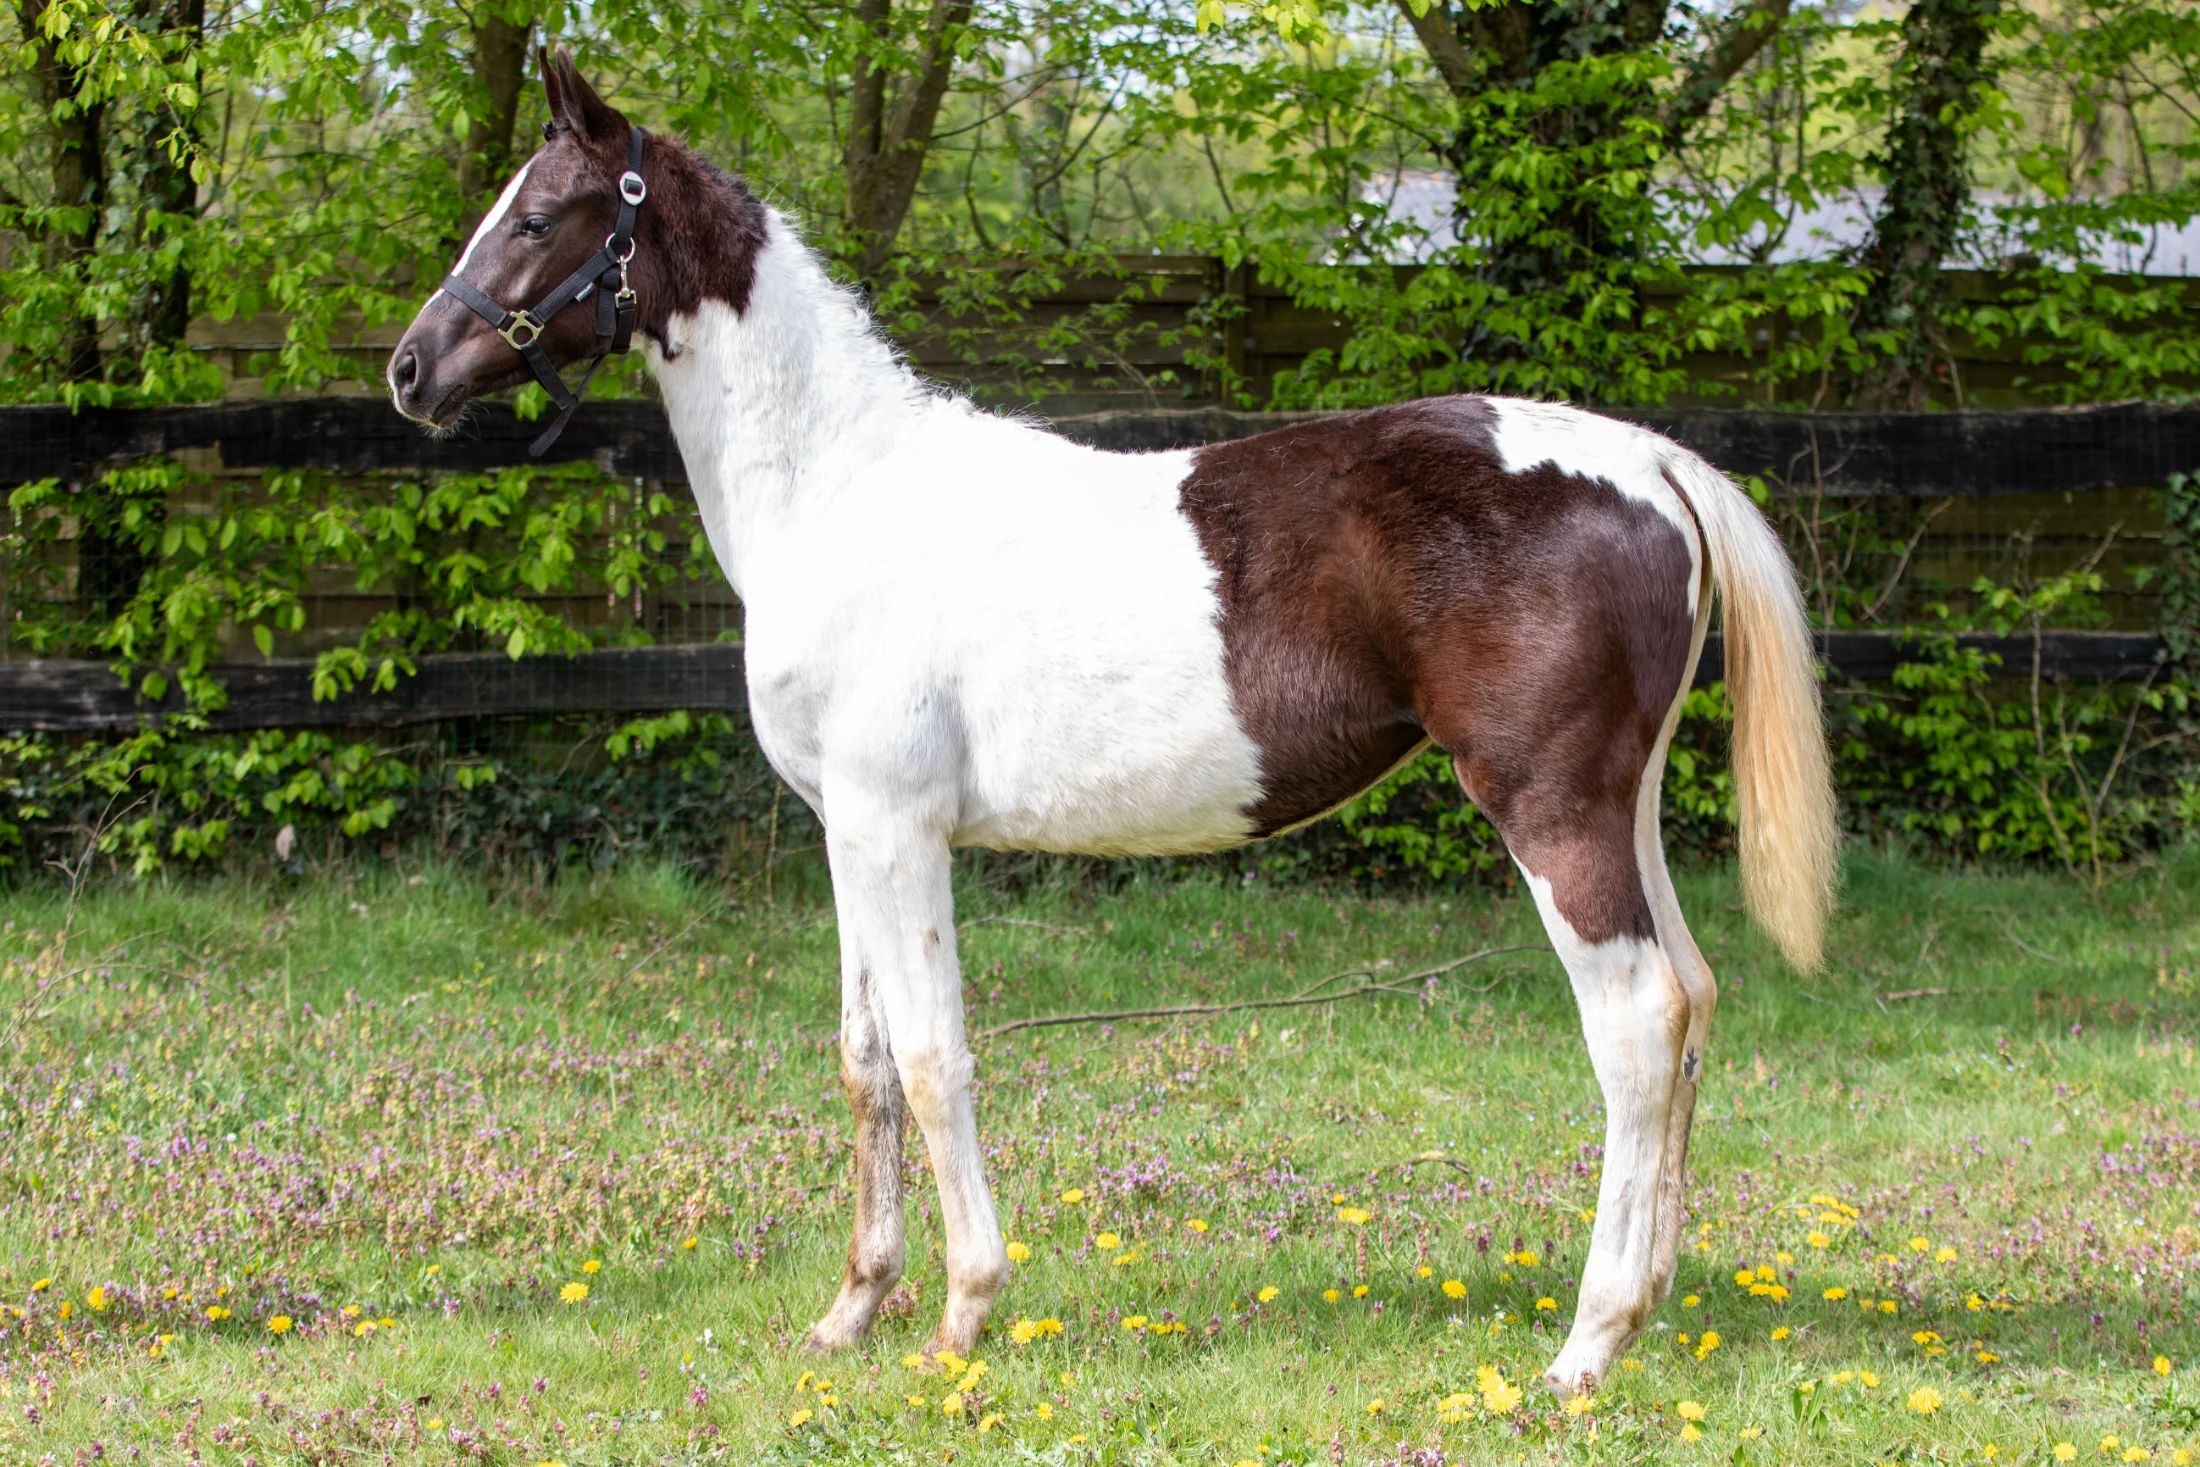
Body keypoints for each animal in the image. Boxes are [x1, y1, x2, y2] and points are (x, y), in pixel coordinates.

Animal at [388, 49, 1838, 1397]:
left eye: (540, 213)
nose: (411, 369)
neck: (841, 488)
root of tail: (1653, 463)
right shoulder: (844, 832)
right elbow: (866, 1061)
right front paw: (852, 1312)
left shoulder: (897, 829)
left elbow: (935, 1059)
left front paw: (963, 1315)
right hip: (1622, 806)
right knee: (1693, 998)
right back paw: (1648, 1306)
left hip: (1549, 811)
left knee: (1637, 1023)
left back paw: (1584, 1346)